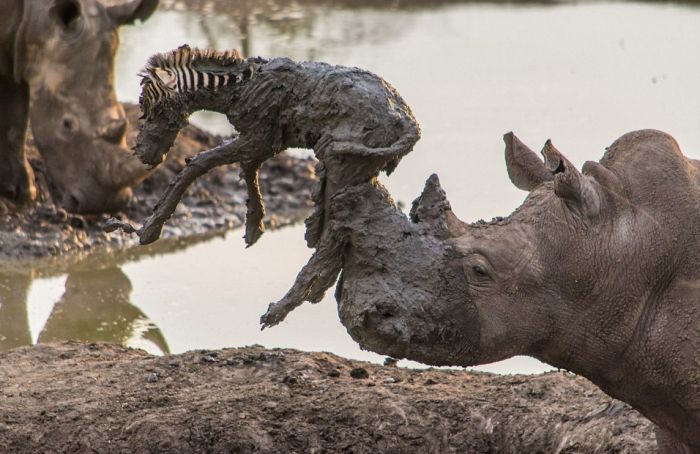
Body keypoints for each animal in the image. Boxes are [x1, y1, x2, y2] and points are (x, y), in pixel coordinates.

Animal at [0, 0, 156, 213]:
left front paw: (22, 192)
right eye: (66, 125)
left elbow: (16, 116)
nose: (105, 204)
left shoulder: (18, 49)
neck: (36, 16)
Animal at [131, 45, 418, 248]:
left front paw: (149, 230)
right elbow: (247, 169)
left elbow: (199, 163)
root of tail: (408, 120)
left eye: (153, 109)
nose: (142, 154)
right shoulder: (266, 143)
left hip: (346, 164)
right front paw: (254, 226)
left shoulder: (258, 137)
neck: (240, 88)